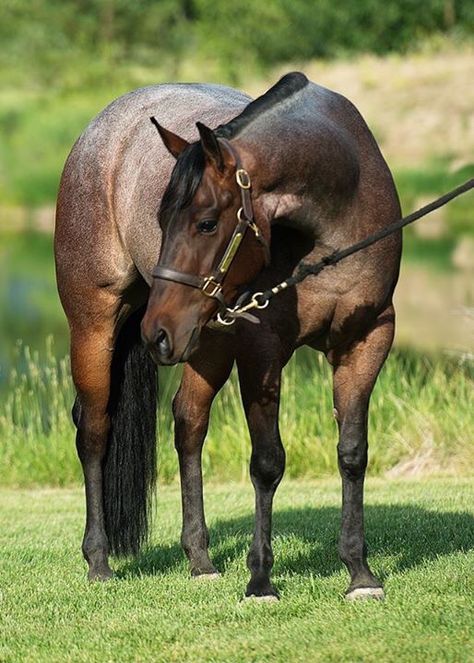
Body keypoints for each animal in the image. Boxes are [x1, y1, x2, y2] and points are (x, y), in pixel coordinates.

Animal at [57, 72, 402, 600]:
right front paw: (260, 580)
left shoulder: (366, 341)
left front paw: (359, 573)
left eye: (206, 223)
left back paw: (200, 559)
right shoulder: (262, 350)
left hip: (204, 339)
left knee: (188, 423)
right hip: (96, 326)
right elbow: (267, 462)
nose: (155, 331)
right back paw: (98, 561)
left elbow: (352, 454)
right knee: (94, 429)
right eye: (160, 220)